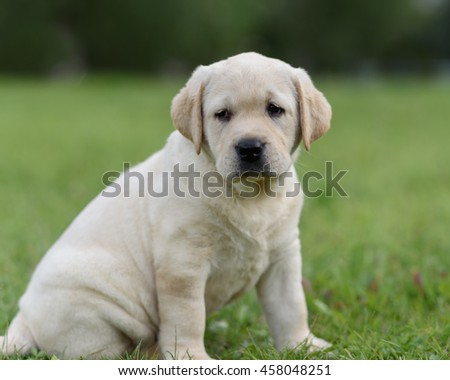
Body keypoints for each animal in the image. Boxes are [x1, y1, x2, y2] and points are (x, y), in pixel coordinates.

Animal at [0, 52, 330, 360]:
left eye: (275, 109)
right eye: (222, 114)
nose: (249, 148)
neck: (251, 197)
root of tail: (23, 318)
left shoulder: (283, 256)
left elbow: (291, 306)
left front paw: (303, 346)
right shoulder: (182, 263)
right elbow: (188, 317)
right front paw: (190, 358)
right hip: (92, 312)